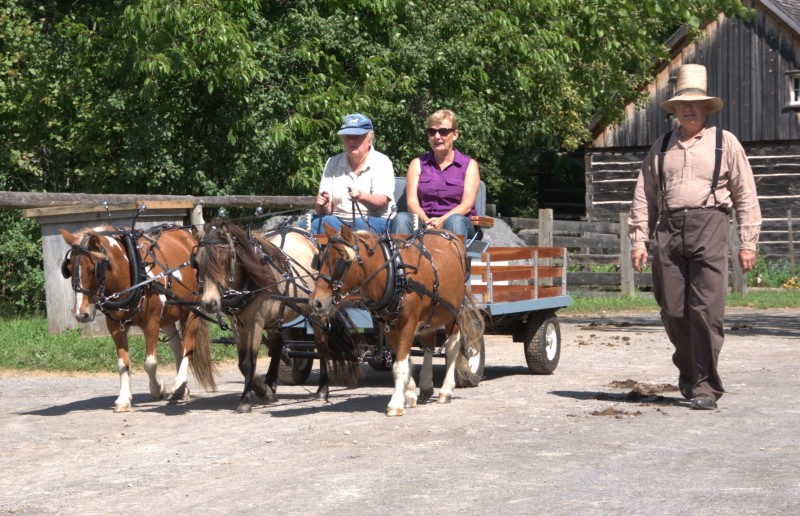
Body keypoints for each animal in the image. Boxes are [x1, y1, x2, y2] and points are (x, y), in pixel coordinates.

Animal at [59, 222, 216, 412]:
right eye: (68, 269)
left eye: (93, 269)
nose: (82, 314)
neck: (132, 273)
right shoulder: (115, 326)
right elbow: (123, 363)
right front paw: (123, 399)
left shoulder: (152, 323)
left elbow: (150, 363)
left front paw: (158, 389)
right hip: (169, 315)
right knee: (177, 347)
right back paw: (181, 389)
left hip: (192, 310)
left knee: (188, 346)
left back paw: (178, 383)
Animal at [191, 223, 360, 416]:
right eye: (196, 262)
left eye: (224, 260)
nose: (209, 303)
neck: (248, 281)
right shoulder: (238, 325)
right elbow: (242, 363)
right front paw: (264, 391)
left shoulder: (255, 323)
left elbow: (249, 363)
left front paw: (246, 401)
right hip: (277, 316)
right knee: (278, 345)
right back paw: (271, 383)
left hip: (318, 311)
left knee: (322, 347)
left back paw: (322, 390)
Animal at [310, 225, 488, 416]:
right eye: (319, 260)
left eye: (340, 260)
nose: (316, 302)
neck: (395, 274)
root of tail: (451, 236)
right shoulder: (388, 326)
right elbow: (404, 362)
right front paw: (409, 395)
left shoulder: (408, 324)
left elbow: (400, 365)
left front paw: (396, 402)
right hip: (431, 314)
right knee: (429, 344)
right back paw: (426, 385)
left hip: (452, 312)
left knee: (452, 348)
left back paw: (446, 391)